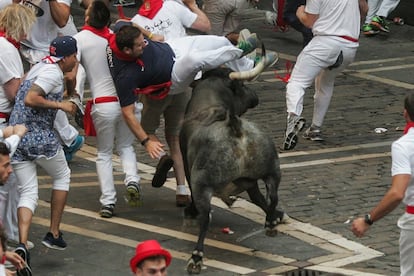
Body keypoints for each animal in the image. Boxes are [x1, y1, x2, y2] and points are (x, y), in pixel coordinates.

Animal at [180, 47, 284, 274]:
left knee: (206, 217)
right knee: (273, 195)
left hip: (203, 183)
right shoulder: (249, 180)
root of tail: (235, 125)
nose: (255, 97)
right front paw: (274, 217)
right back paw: (270, 223)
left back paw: (196, 257)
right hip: (272, 169)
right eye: (243, 86)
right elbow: (258, 198)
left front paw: (190, 210)